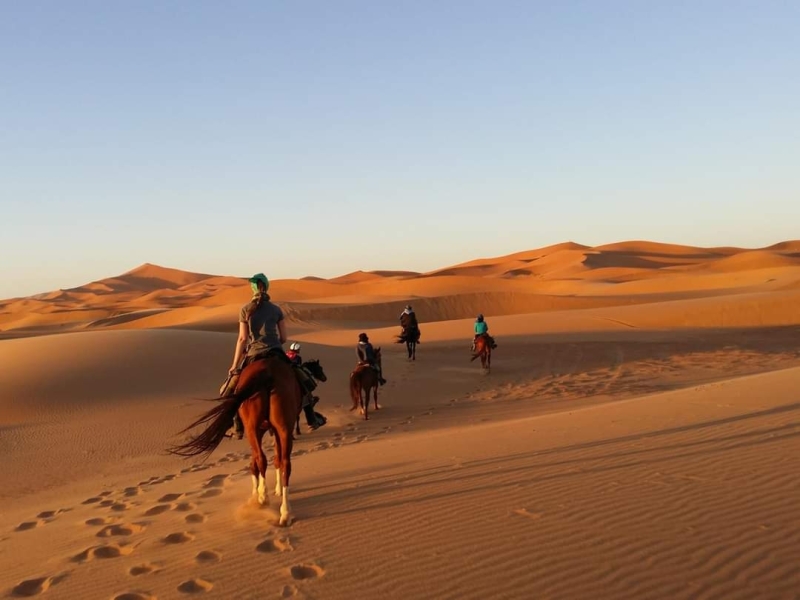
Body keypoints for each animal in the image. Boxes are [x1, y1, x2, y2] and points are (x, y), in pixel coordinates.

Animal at [169, 354, 304, 528]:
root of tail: (267, 370)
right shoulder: (274, 430)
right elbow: (277, 458)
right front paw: (277, 490)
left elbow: (255, 463)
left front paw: (258, 493)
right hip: (283, 427)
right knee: (285, 462)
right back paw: (285, 513)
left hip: (252, 427)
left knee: (261, 459)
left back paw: (263, 498)